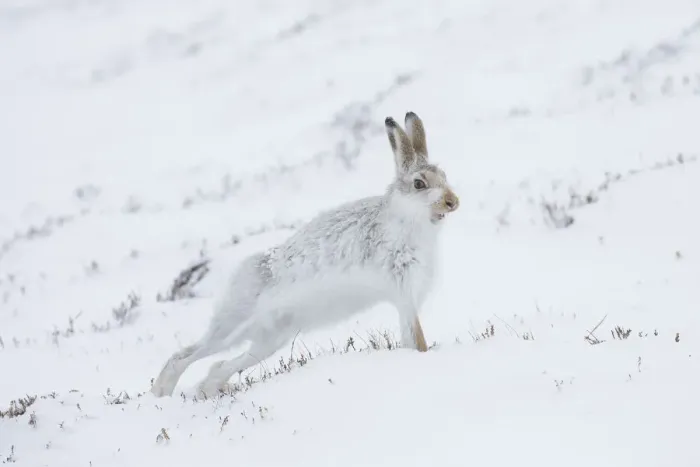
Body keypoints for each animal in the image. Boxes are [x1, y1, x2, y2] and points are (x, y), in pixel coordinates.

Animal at [150, 111, 460, 398]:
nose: (453, 202)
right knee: (184, 356)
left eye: (445, 177)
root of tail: (243, 270)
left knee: (221, 365)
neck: (409, 222)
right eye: (419, 184)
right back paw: (161, 392)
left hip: (271, 338)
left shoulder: (406, 301)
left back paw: (207, 391)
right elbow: (417, 338)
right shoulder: (403, 292)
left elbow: (410, 337)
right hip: (234, 324)